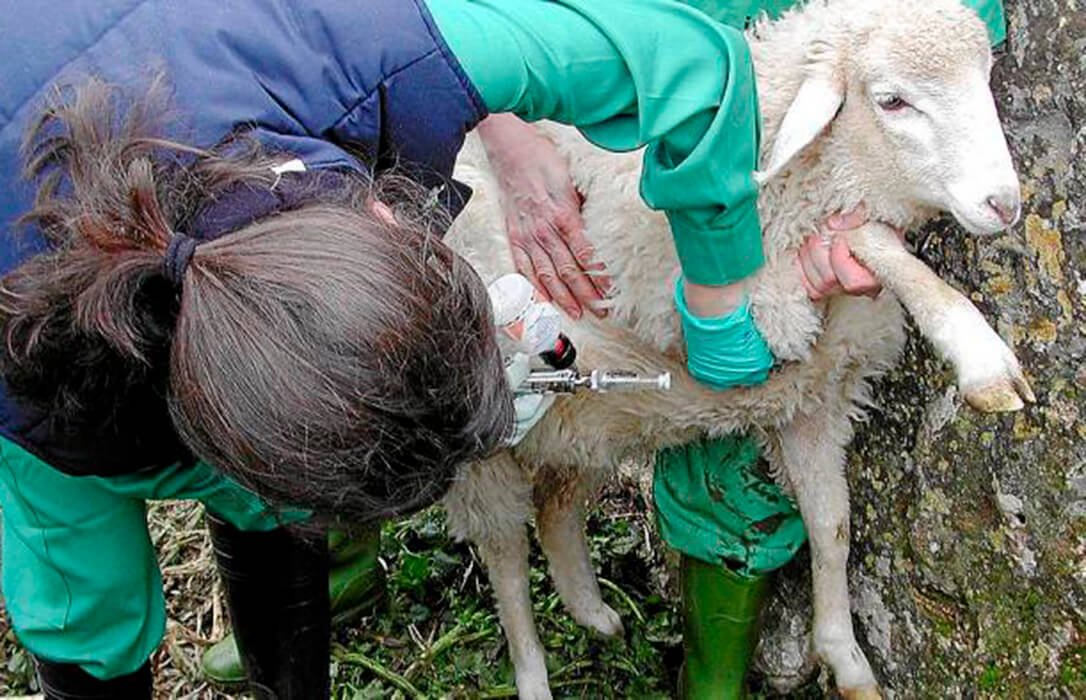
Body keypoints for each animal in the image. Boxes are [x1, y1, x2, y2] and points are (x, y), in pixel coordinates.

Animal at [438, 2, 1025, 694]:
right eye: (892, 101)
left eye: (985, 74)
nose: (1005, 205)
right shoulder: (742, 300)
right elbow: (871, 240)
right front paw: (978, 351)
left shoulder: (814, 397)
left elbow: (832, 525)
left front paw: (845, 659)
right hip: (483, 434)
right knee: (505, 556)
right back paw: (533, 672)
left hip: (586, 411)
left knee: (558, 504)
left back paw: (594, 614)